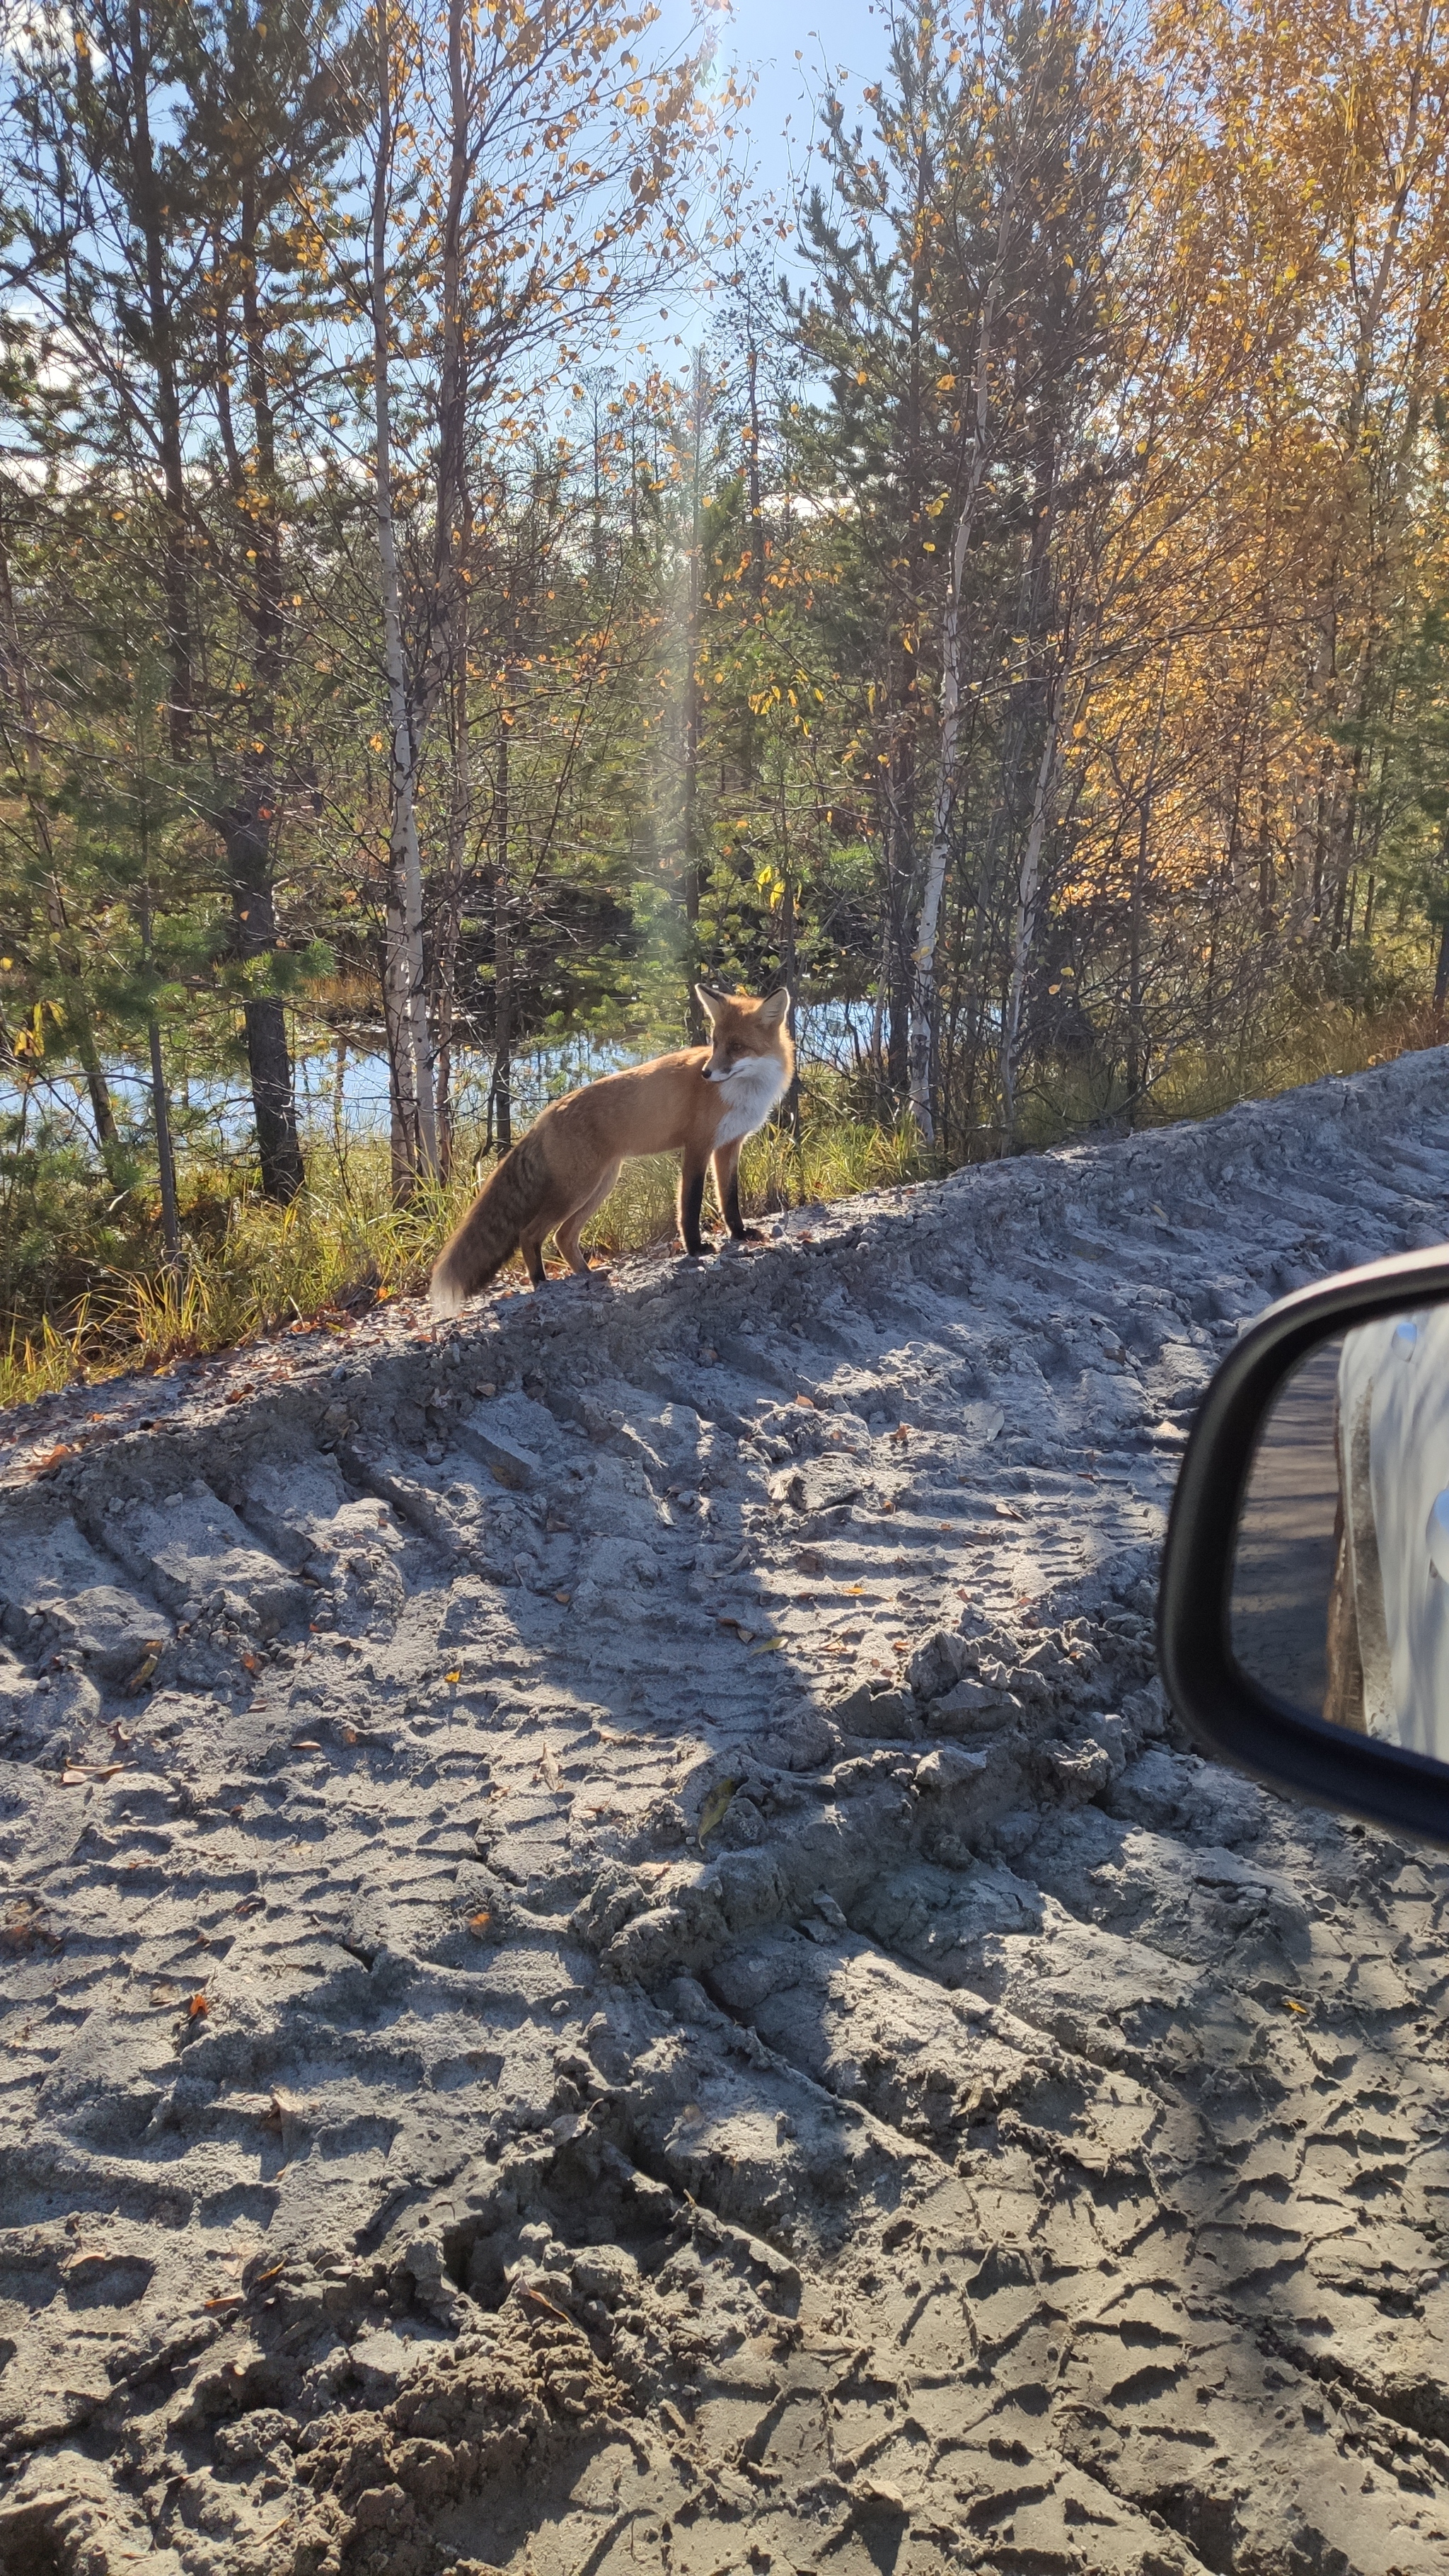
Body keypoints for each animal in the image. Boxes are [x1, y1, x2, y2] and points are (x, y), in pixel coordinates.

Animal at [427, 978, 789, 1319]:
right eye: (715, 1043)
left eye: (737, 1046)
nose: (706, 1073)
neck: (741, 1092)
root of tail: (546, 1114)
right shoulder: (698, 1146)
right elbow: (691, 1205)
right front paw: (696, 1249)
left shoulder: (728, 1146)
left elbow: (729, 1199)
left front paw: (740, 1234)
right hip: (578, 1188)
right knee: (529, 1234)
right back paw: (542, 1283)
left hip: (600, 1185)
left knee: (563, 1237)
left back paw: (586, 1275)